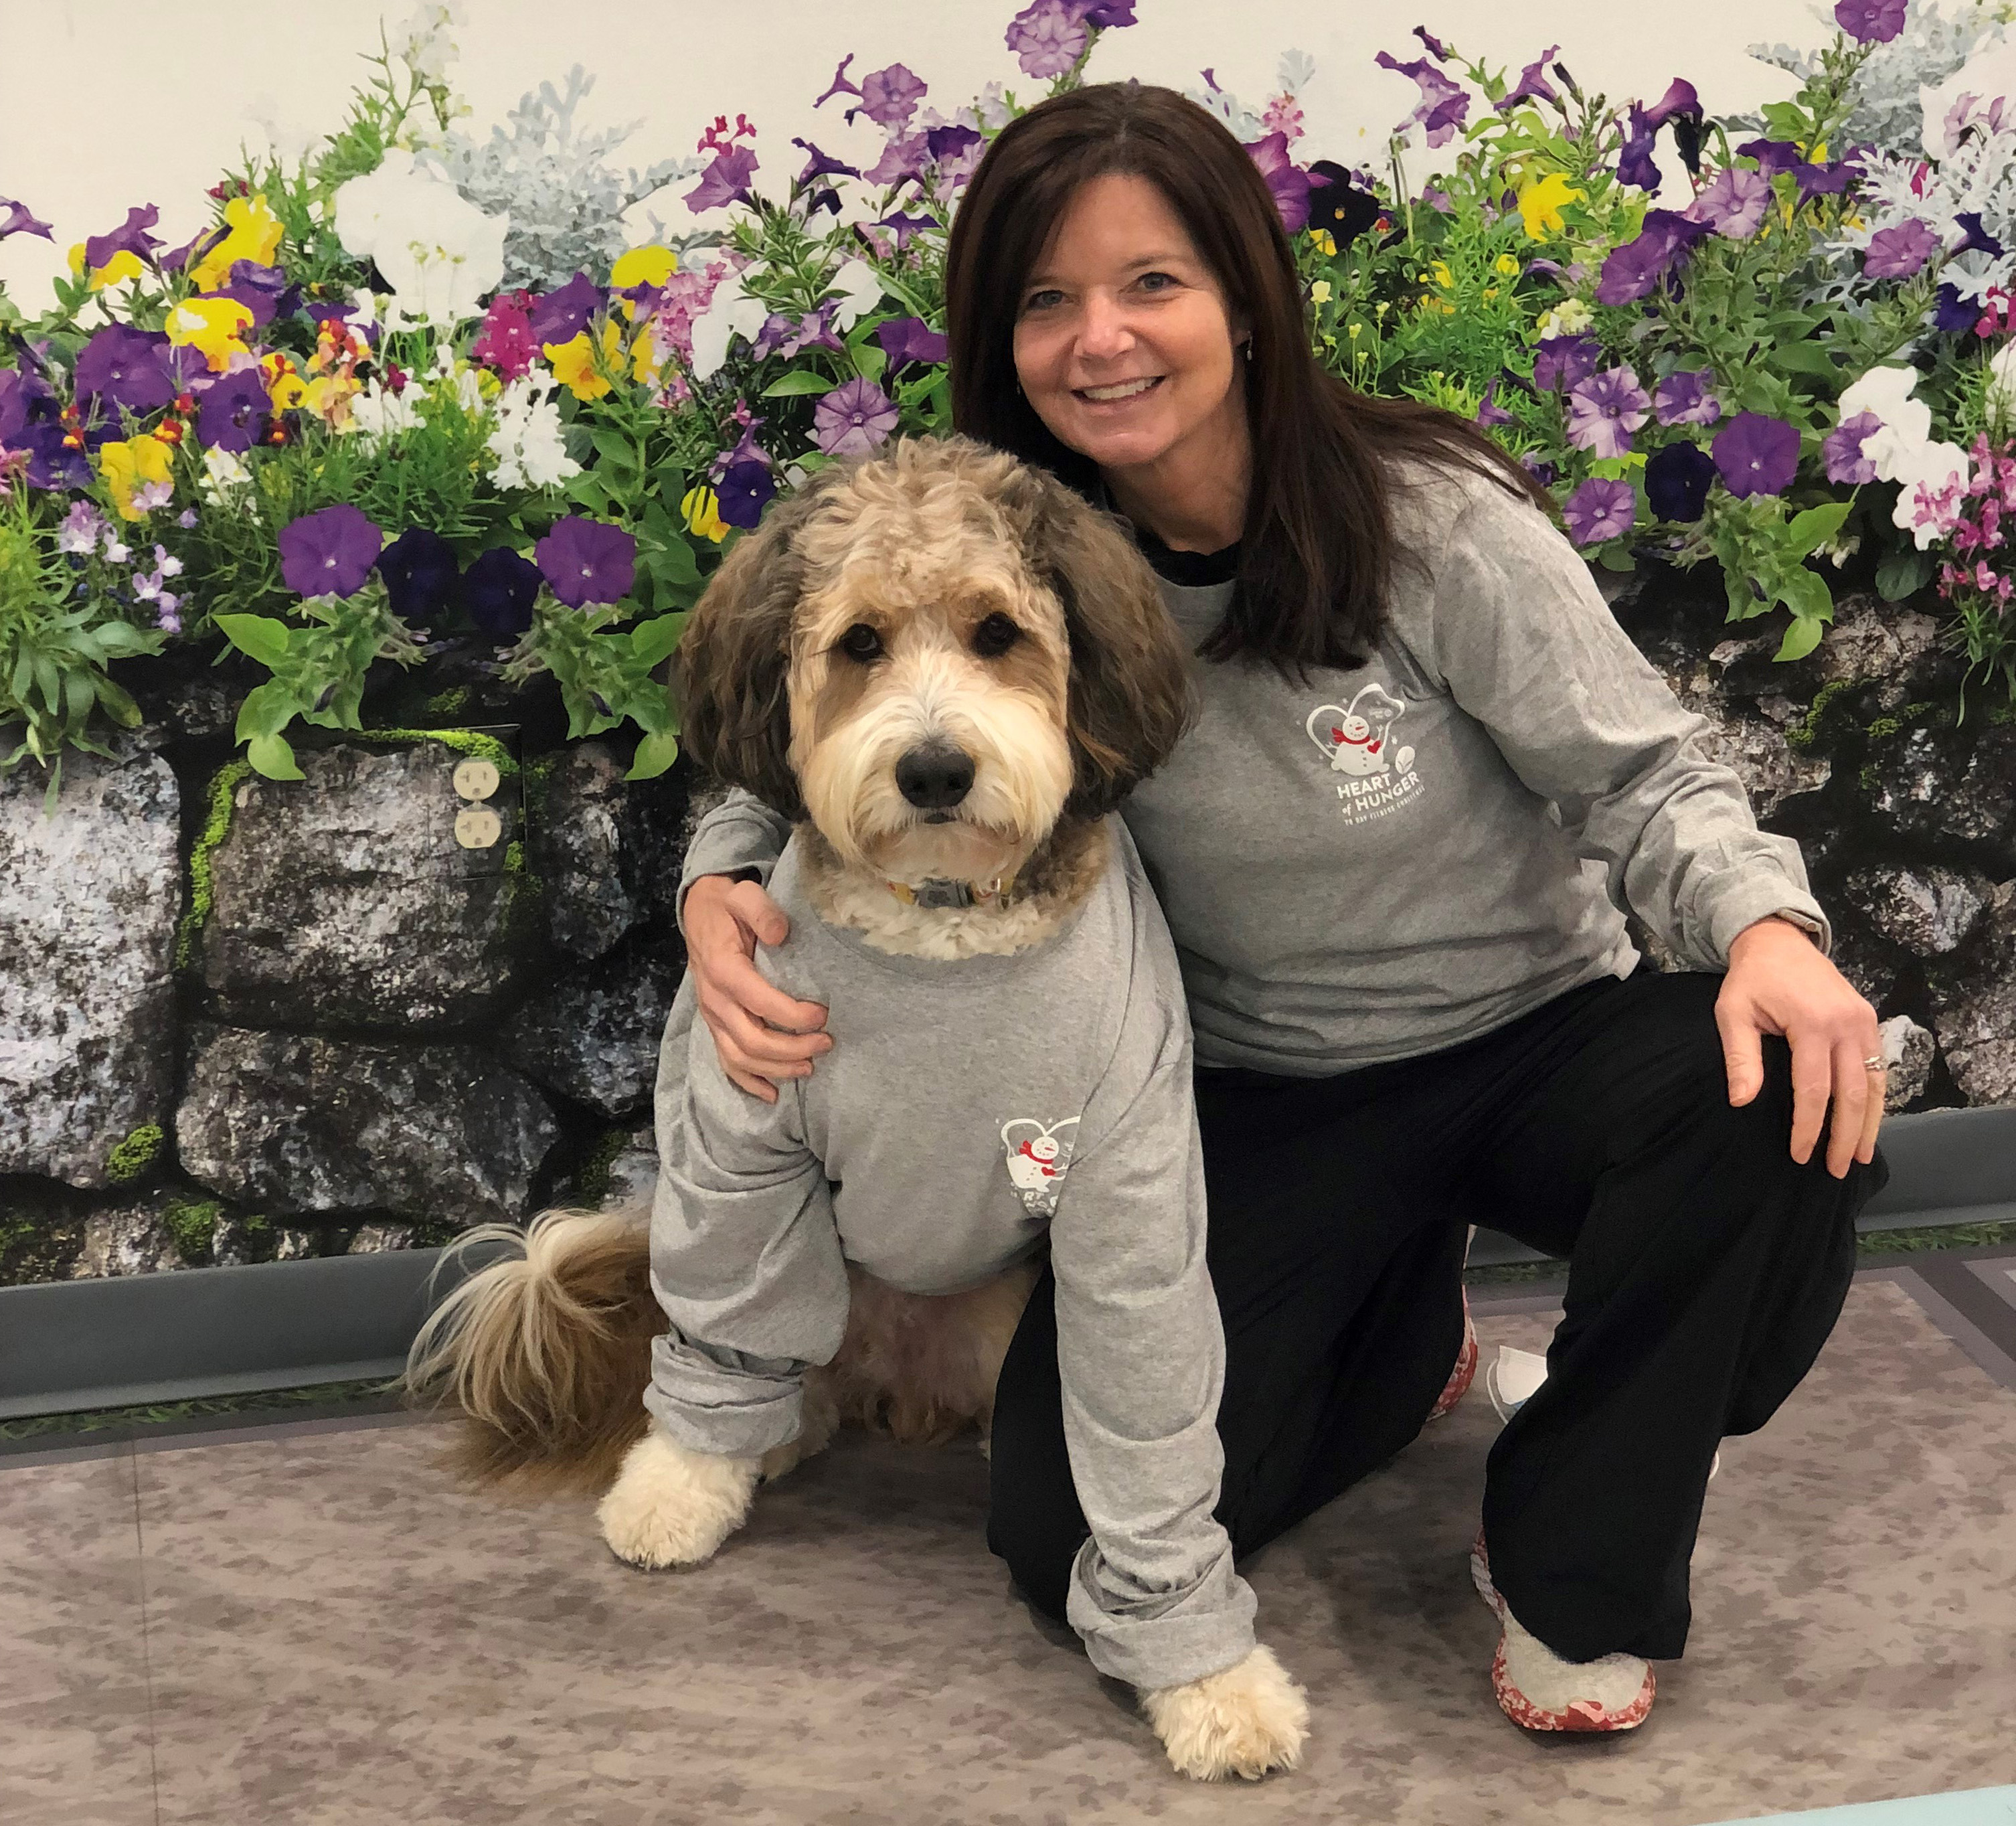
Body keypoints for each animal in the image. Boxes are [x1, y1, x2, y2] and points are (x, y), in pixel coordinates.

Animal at [409, 437, 1306, 1781]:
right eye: (862, 643)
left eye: (998, 633)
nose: (934, 770)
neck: (939, 929)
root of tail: (906, 1384)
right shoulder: (740, 1150)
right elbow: (720, 1332)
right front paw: (676, 1486)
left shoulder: (1130, 1193)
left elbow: (1146, 1445)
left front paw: (1210, 1680)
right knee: (772, 1355)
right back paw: (768, 1434)